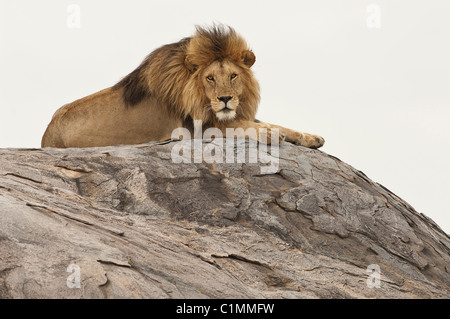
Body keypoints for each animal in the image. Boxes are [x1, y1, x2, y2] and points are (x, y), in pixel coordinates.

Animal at [41, 25, 324, 149]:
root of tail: (46, 135)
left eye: (233, 76)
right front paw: (268, 133)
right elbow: (246, 127)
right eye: (210, 78)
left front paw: (310, 137)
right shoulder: (196, 128)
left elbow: (276, 124)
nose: (225, 99)